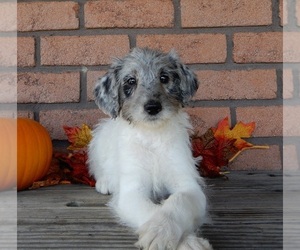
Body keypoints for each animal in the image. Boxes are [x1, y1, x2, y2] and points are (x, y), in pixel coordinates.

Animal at [88, 47, 212, 250]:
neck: (152, 135)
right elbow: (151, 209)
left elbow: (176, 202)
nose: (153, 107)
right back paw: (105, 182)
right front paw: (178, 238)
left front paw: (168, 232)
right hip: (98, 141)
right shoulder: (132, 190)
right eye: (131, 81)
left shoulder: (188, 184)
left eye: (164, 77)